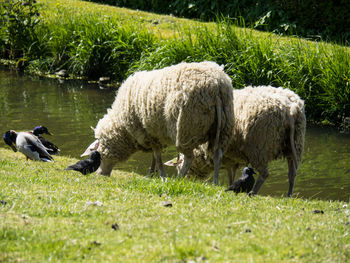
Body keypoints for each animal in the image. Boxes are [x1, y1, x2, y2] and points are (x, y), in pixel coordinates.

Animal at [82, 61, 235, 184]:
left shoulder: (150, 133)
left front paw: (161, 175)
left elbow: (157, 156)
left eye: (99, 155)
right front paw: (151, 174)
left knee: (189, 157)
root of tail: (216, 85)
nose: (101, 175)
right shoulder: (155, 134)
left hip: (187, 128)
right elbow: (155, 157)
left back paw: (178, 178)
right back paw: (215, 182)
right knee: (217, 156)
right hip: (222, 129)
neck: (123, 129)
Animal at [165, 85, 304, 197]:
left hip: (260, 147)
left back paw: (253, 192)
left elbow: (230, 174)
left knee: (264, 173)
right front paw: (232, 185)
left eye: (179, 166)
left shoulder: (227, 157)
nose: (186, 181)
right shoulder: (232, 158)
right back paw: (289, 194)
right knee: (292, 173)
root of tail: (290, 109)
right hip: (294, 145)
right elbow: (232, 174)